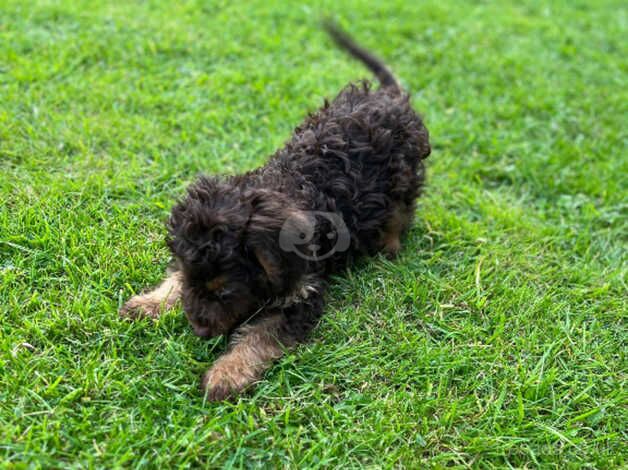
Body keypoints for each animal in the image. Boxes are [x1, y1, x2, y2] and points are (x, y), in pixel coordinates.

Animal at [119, 23, 432, 400]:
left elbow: (258, 335)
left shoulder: (299, 297)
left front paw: (227, 373)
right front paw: (150, 303)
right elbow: (175, 279)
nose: (199, 330)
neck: (282, 188)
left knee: (402, 208)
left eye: (225, 291)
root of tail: (390, 97)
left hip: (404, 172)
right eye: (192, 280)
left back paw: (389, 243)